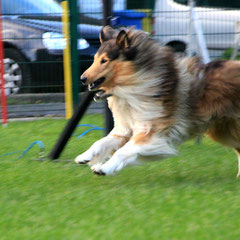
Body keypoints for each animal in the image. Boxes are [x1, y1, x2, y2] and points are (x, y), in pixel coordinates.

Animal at [75, 26, 240, 176]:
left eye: (104, 60)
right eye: (94, 59)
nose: (82, 78)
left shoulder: (152, 132)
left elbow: (123, 151)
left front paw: (104, 168)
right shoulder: (126, 130)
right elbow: (101, 142)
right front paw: (84, 157)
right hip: (223, 130)